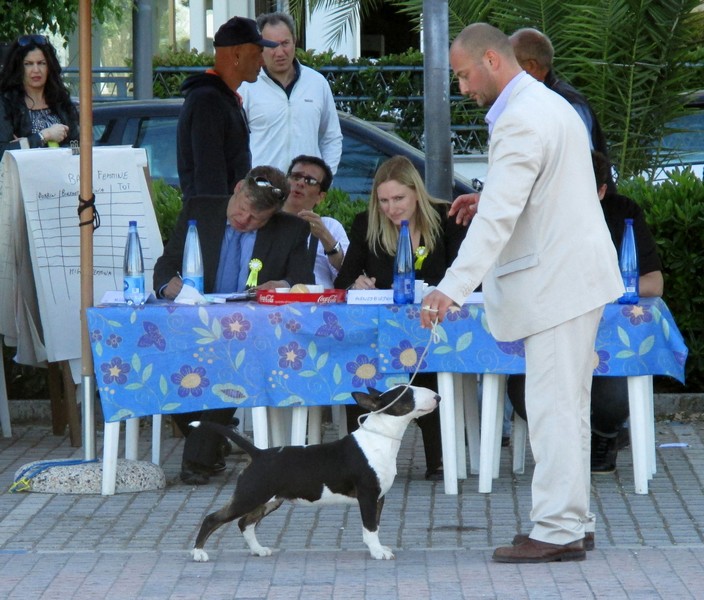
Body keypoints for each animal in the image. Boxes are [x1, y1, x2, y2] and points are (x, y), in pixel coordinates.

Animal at [190, 384, 440, 561]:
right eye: (407, 393)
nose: (437, 397)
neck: (379, 439)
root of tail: (259, 453)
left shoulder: (379, 497)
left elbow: (375, 525)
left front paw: (378, 548)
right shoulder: (368, 495)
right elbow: (370, 527)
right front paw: (378, 552)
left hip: (270, 500)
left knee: (245, 523)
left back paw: (258, 550)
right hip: (250, 495)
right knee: (213, 518)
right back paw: (198, 553)